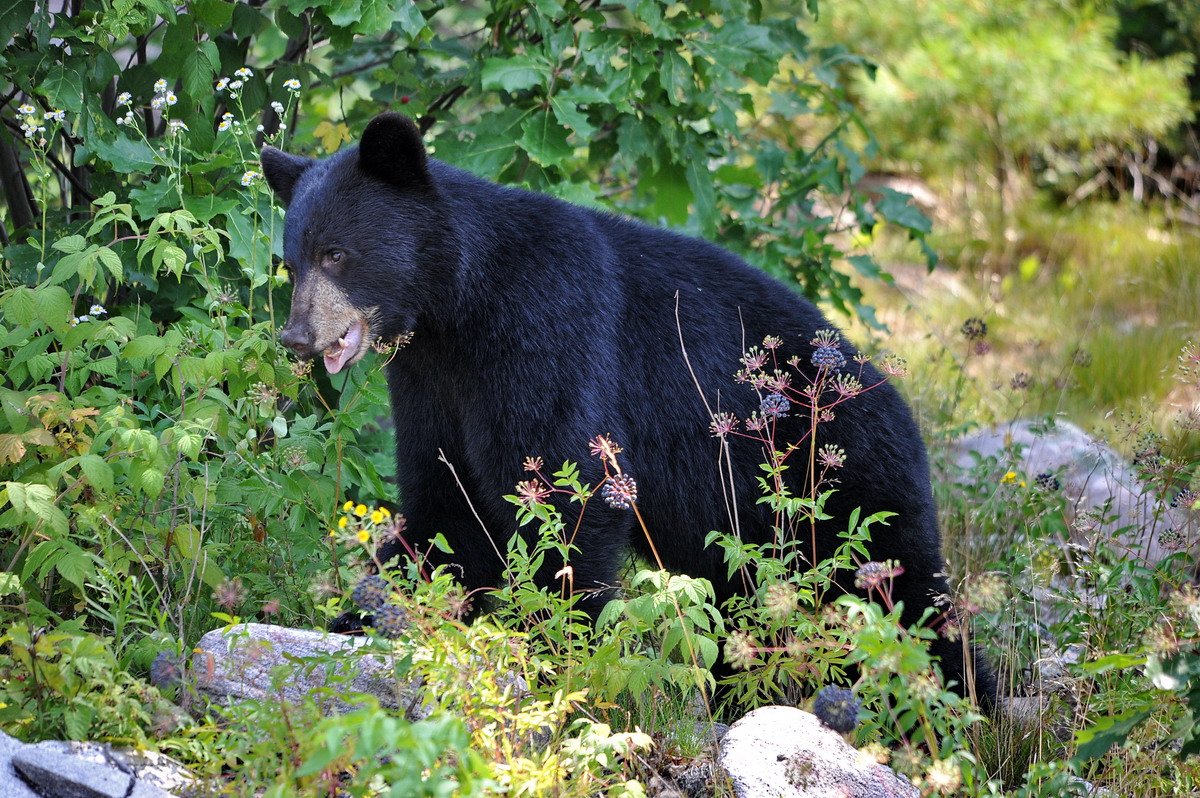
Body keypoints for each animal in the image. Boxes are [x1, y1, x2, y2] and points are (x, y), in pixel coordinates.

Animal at [260, 110, 993, 705]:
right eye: (291, 264)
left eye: (336, 253)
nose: (296, 336)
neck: (459, 306)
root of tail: (897, 401)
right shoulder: (430, 382)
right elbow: (445, 500)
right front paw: (360, 616)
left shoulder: (546, 332)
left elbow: (562, 492)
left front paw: (559, 646)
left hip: (834, 480)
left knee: (900, 593)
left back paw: (963, 703)